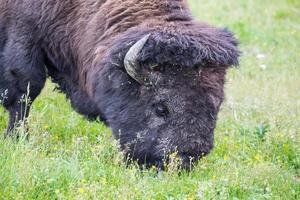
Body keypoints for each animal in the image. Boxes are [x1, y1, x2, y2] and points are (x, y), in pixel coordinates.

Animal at [0, 0, 239, 169]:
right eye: (160, 108)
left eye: (217, 106)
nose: (186, 159)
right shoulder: (24, 40)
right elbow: (24, 93)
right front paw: (17, 139)